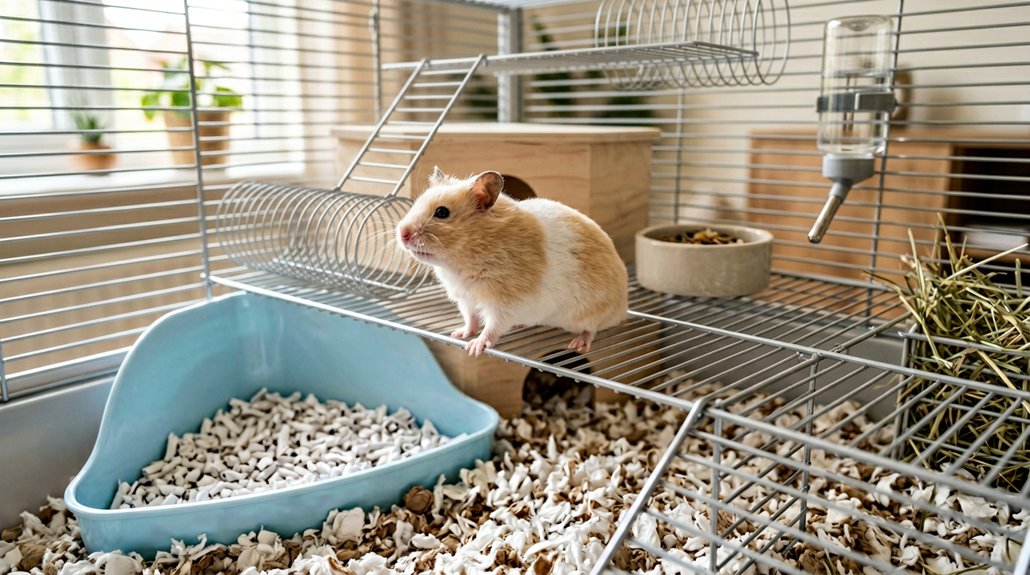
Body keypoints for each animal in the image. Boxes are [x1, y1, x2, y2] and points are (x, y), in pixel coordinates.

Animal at [396, 167, 628, 357]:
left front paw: (474, 348)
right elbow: (471, 319)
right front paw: (459, 334)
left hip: (593, 310)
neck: (461, 261)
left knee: (592, 328)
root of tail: (623, 307)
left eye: (442, 212)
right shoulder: (465, 299)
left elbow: (492, 327)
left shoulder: (505, 303)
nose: (402, 234)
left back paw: (578, 343)